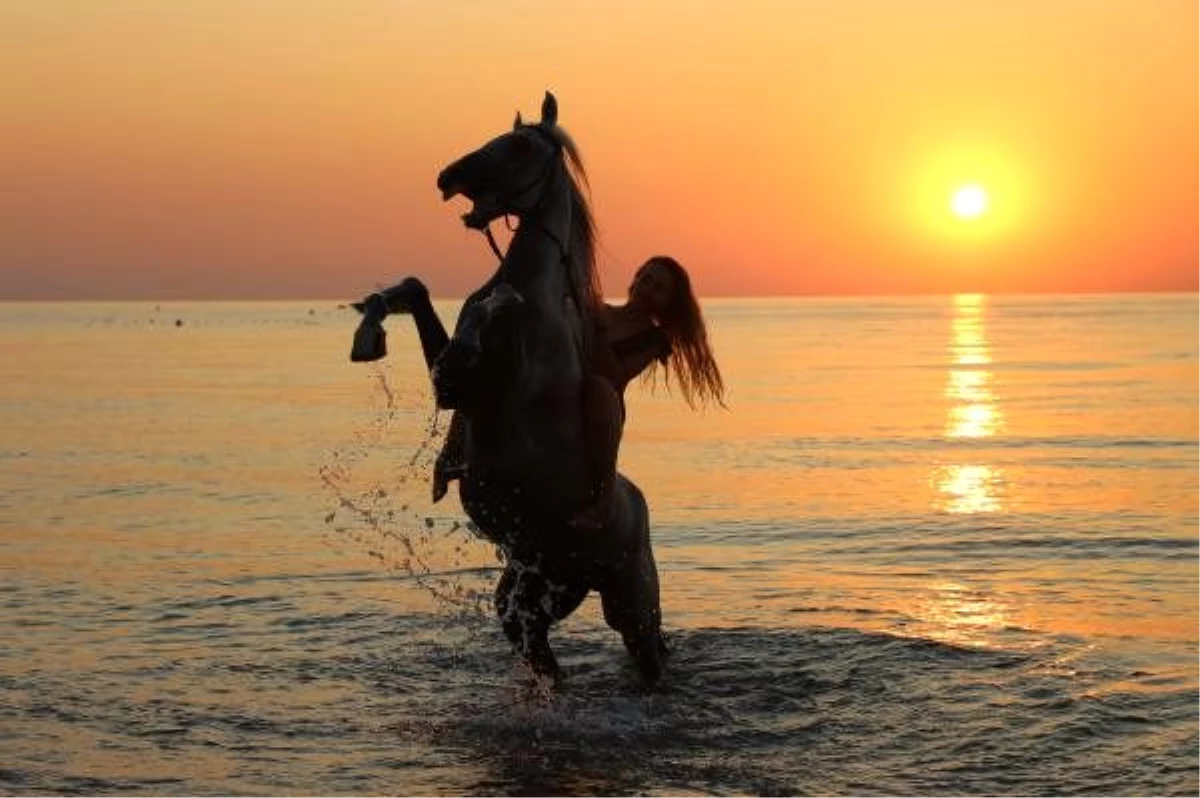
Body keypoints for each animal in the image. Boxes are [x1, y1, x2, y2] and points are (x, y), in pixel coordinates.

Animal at [348, 91, 672, 676]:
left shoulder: (489, 393)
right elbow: (415, 289)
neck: (537, 299)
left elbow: (491, 309)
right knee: (545, 660)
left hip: (632, 606)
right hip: (534, 594)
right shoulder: (454, 388)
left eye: (520, 145)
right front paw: (369, 329)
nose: (447, 176)